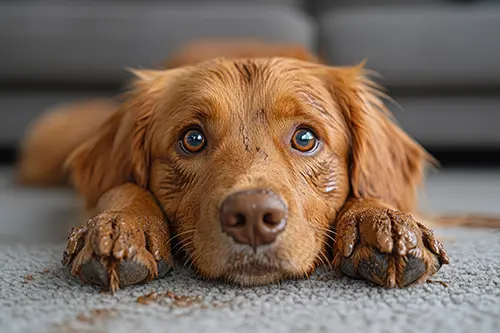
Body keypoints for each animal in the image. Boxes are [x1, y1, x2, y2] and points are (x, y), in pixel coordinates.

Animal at [17, 40, 470, 290]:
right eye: (192, 139)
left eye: (305, 138)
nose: (252, 216)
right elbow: (123, 185)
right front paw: (124, 225)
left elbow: (374, 187)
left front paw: (382, 220)